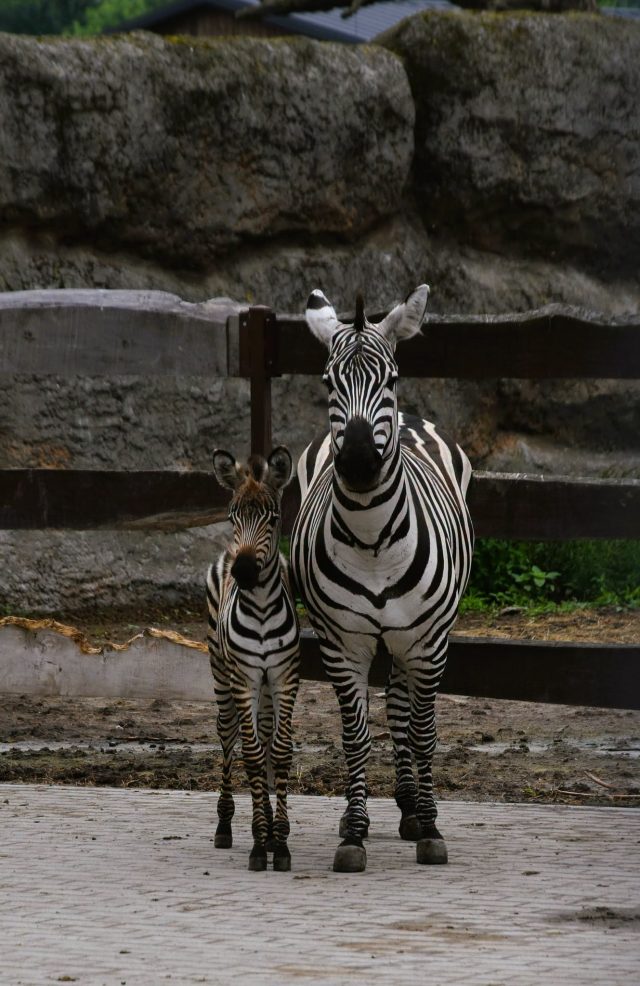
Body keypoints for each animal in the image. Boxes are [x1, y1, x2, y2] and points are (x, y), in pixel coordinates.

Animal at [291, 285, 474, 873]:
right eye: (328, 382)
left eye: (389, 378)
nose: (357, 463)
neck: (372, 540)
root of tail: (414, 418)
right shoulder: (340, 644)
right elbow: (355, 737)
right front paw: (353, 831)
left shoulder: (428, 641)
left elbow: (424, 732)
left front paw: (431, 829)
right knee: (391, 708)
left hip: (419, 633)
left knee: (402, 709)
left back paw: (415, 809)